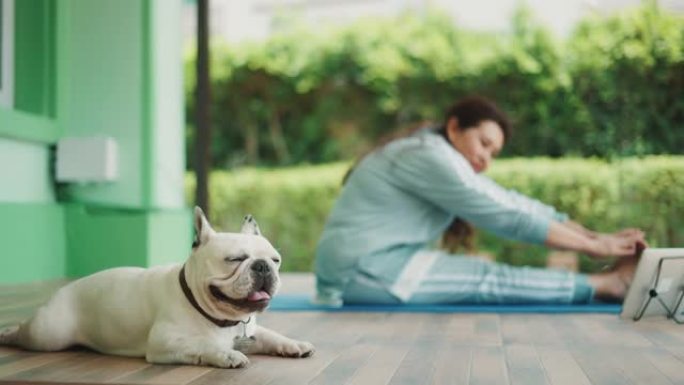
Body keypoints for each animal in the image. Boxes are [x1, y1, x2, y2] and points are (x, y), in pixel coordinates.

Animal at [0, 206, 314, 368]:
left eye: (275, 260)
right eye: (234, 259)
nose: (262, 266)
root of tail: (64, 290)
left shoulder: (251, 330)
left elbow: (271, 335)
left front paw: (293, 344)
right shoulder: (166, 343)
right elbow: (203, 345)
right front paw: (226, 354)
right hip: (48, 335)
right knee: (26, 333)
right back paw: (8, 333)